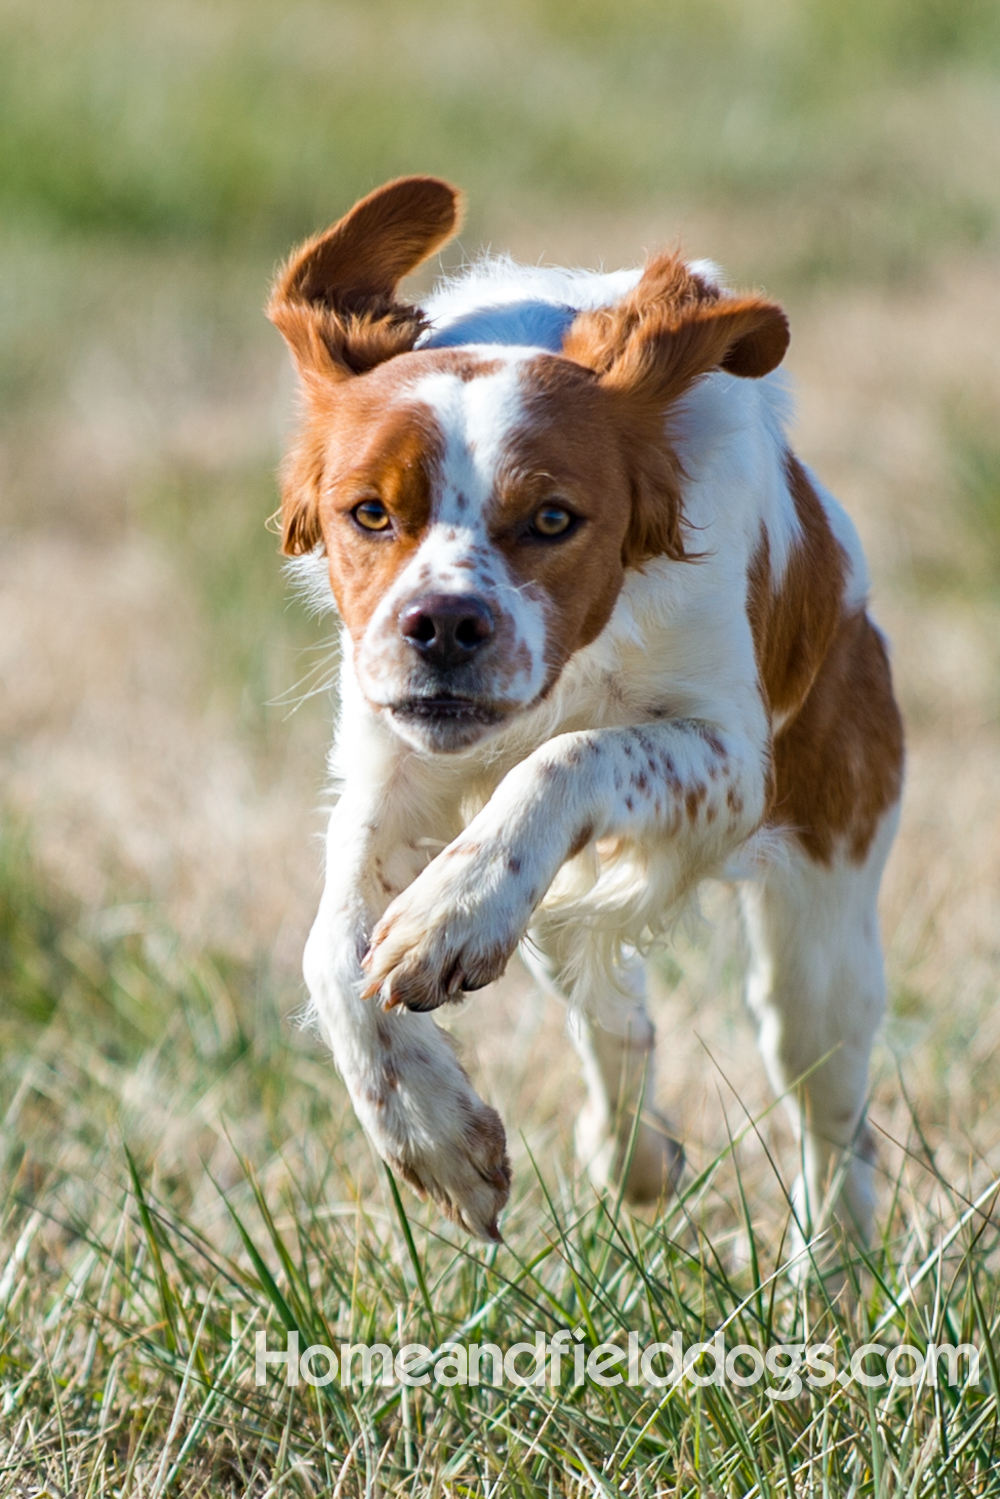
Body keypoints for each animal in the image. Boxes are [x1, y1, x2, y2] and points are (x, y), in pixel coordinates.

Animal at [268, 175, 905, 1247]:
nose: (444, 625)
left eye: (554, 518)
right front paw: (438, 1137)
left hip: (823, 920)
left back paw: (834, 1273)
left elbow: (569, 757)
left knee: (832, 1121)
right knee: (615, 1013)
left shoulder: (732, 762)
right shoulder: (393, 761)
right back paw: (635, 1157)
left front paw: (450, 910)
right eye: (370, 513)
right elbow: (331, 946)